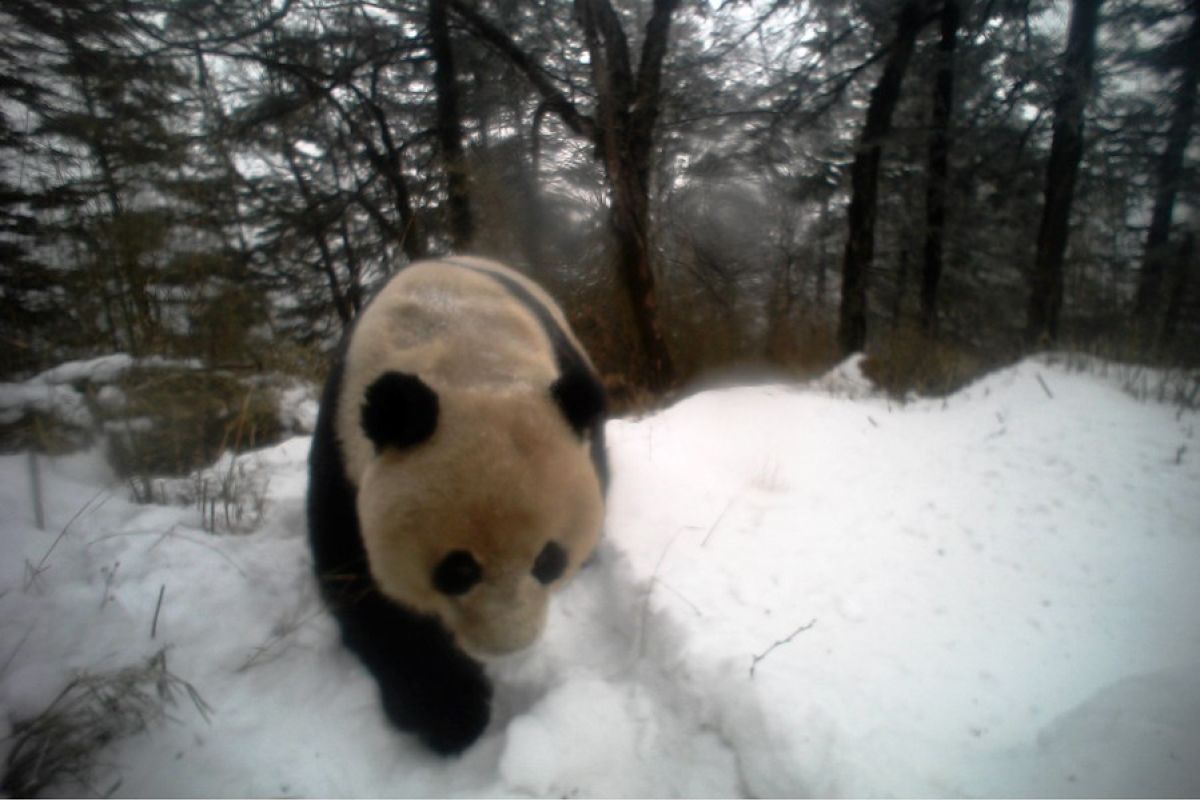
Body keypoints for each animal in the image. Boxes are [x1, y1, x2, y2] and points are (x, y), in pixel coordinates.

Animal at [309, 253, 609, 753]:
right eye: (458, 569)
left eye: (547, 560)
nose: (508, 646)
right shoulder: (342, 444)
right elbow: (357, 579)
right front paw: (450, 711)